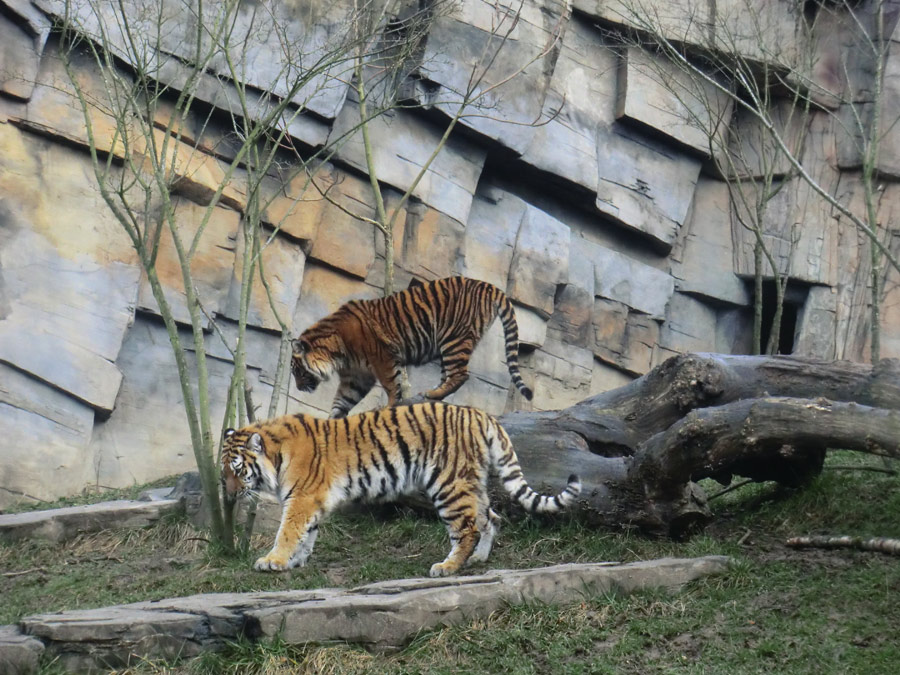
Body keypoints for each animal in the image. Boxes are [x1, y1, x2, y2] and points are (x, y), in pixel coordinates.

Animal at [221, 404, 580, 580]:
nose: (229, 494)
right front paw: (296, 562)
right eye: (223, 471)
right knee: (490, 517)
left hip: (448, 484)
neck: (276, 455)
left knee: (466, 528)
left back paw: (448, 567)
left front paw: (273, 561)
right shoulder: (313, 500)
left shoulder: (303, 498)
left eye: (237, 470)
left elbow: (288, 531)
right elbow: (308, 533)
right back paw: (478, 558)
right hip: (471, 481)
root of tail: (481, 414)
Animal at [292, 274, 536, 418]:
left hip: (454, 338)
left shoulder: (382, 358)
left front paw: (389, 406)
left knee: (460, 374)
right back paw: (431, 394)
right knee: (450, 375)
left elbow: (392, 385)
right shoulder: (356, 376)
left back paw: (432, 393)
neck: (337, 353)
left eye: (298, 372)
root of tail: (488, 286)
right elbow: (342, 401)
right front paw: (331, 422)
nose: (298, 388)